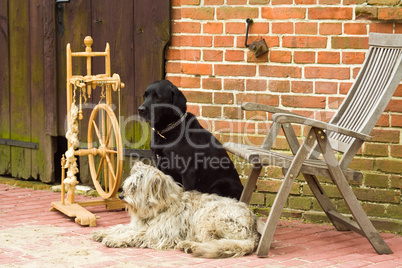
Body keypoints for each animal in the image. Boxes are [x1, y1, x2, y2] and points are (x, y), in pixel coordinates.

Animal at [92, 161, 260, 258]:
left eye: (135, 188)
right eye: (129, 185)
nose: (121, 196)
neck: (161, 208)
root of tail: (254, 230)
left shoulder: (159, 233)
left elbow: (133, 234)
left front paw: (115, 239)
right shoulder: (139, 225)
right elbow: (121, 227)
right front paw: (103, 233)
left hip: (207, 219)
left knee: (215, 242)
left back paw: (191, 246)